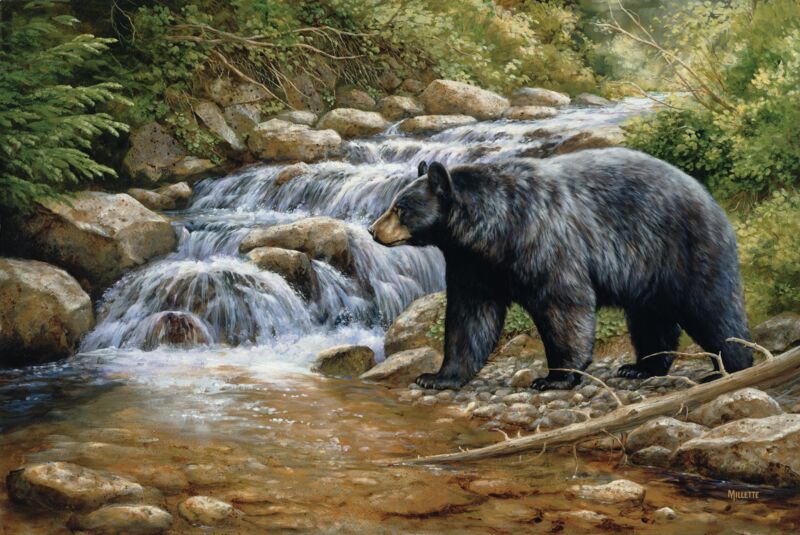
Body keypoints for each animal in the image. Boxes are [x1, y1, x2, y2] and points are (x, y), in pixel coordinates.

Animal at [369, 148, 753, 390]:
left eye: (401, 208)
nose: (372, 230)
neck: (492, 230)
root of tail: (709, 198)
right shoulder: (474, 265)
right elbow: (469, 317)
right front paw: (437, 377)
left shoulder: (543, 241)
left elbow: (564, 304)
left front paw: (555, 377)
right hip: (648, 269)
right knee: (651, 318)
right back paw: (640, 367)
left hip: (685, 249)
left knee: (714, 310)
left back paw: (731, 368)